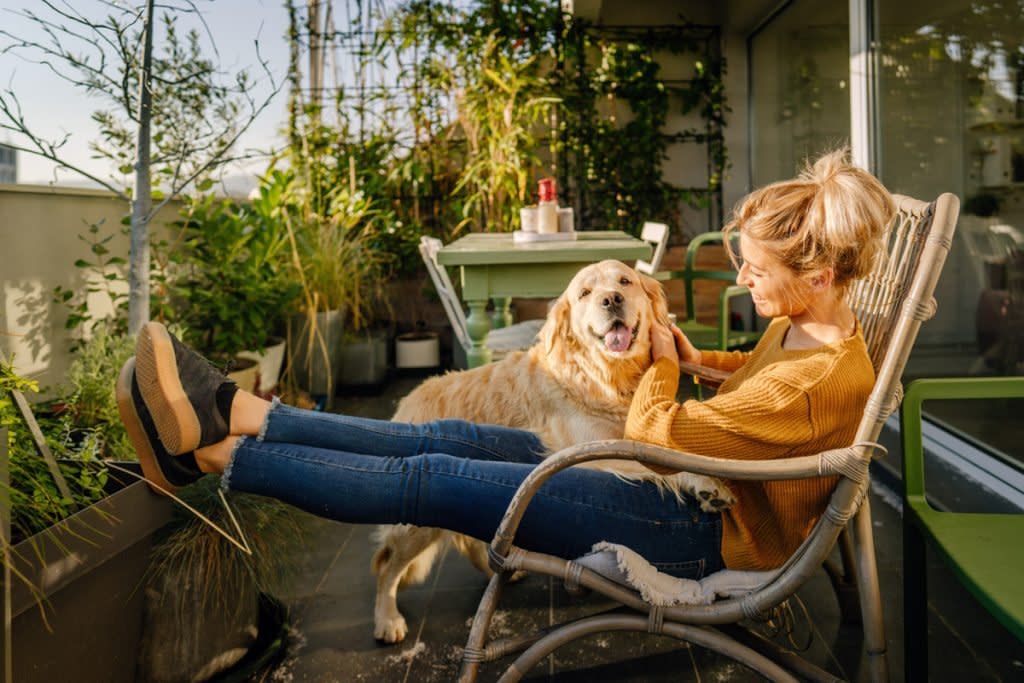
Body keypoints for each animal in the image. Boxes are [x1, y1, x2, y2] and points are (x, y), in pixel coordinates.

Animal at [372, 259, 733, 643]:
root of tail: (408, 400)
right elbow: (664, 464)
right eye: (585, 293)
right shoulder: (596, 450)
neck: (606, 377)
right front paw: (707, 483)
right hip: (414, 528)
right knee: (386, 564)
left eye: (625, 281)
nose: (612, 300)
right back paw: (388, 619)